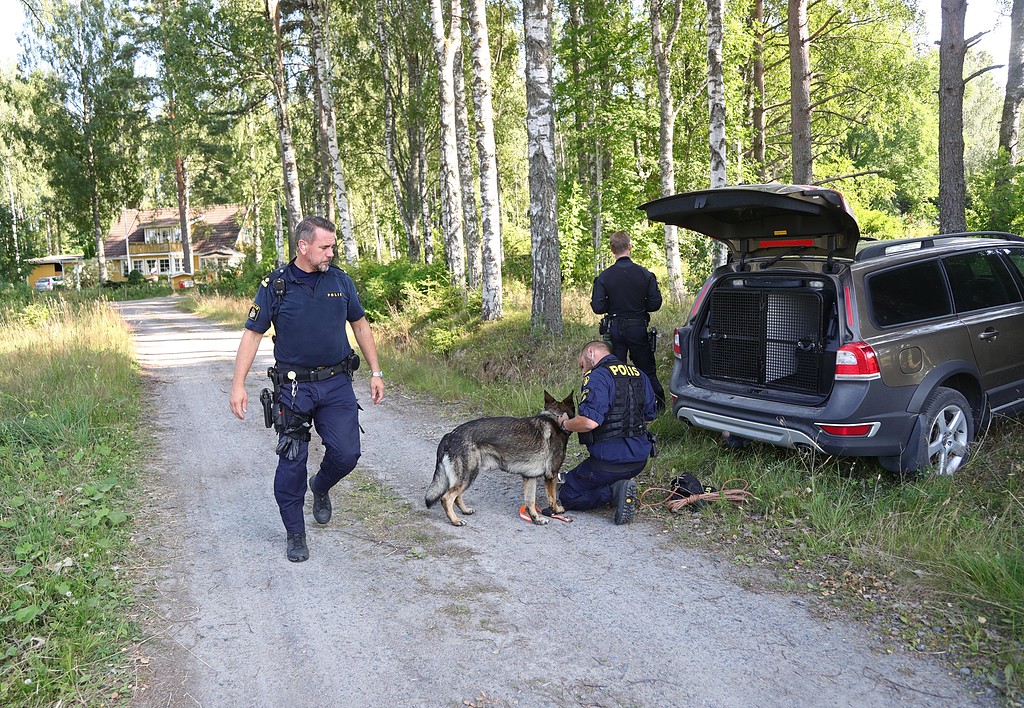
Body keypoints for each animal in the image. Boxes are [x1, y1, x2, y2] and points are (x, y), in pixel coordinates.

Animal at [423, 393, 577, 524]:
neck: (554, 418)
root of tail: (450, 434)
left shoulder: (530, 478)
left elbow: (530, 502)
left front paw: (536, 519)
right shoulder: (551, 475)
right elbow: (552, 498)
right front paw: (556, 510)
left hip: (464, 478)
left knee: (456, 496)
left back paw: (465, 511)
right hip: (468, 475)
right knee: (447, 498)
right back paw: (455, 520)